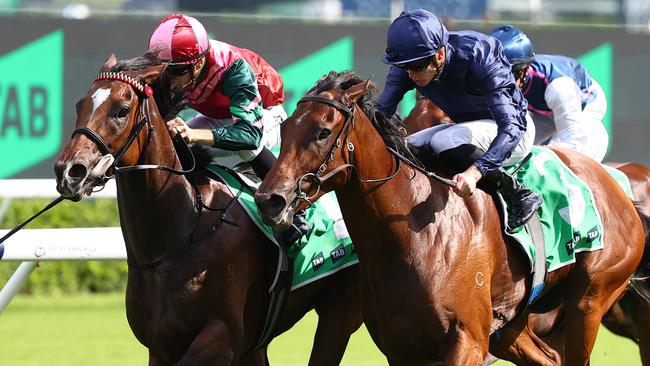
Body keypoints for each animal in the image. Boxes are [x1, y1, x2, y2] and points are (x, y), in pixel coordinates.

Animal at [53, 53, 362, 364]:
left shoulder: (222, 337)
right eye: (80, 105)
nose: (69, 171)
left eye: (122, 110)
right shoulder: (160, 346)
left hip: (340, 311)